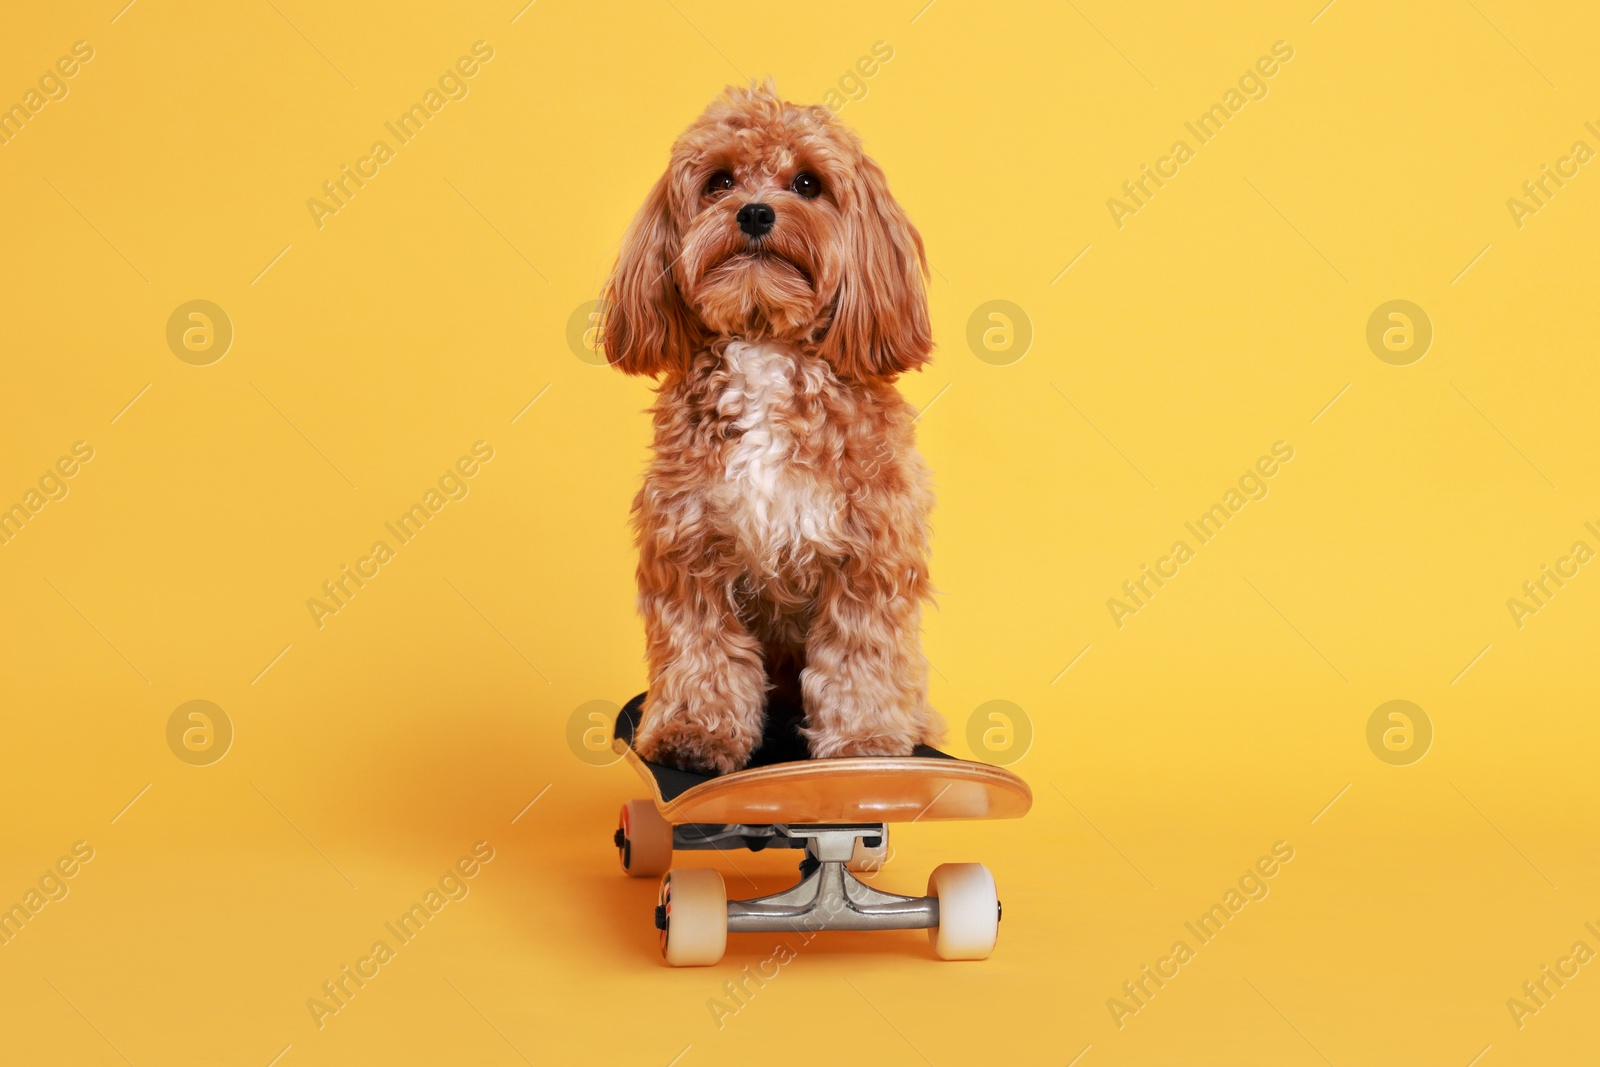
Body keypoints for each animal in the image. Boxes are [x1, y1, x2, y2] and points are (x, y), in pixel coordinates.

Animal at [604, 79, 940, 771]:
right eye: (719, 181)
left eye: (808, 183)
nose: (756, 213)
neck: (765, 340)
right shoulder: (688, 549)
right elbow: (702, 650)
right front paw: (695, 732)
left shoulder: (868, 552)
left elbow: (858, 655)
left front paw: (864, 742)